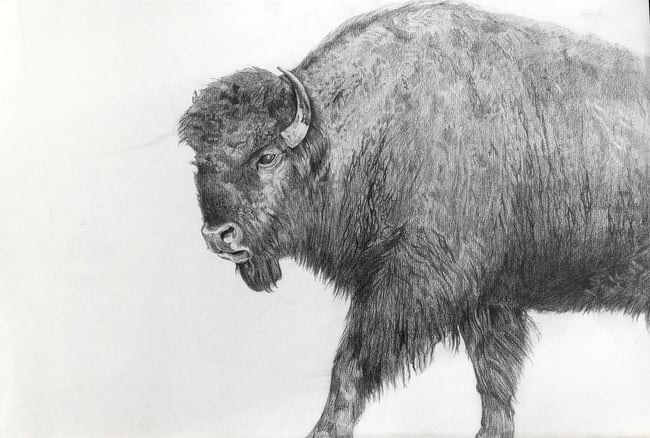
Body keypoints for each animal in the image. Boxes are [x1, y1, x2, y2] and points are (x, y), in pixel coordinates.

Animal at [178, 2, 650, 437]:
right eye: (199, 162)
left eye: (268, 156)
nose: (219, 236)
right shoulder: (489, 302)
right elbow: (494, 380)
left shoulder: (414, 283)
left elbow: (351, 365)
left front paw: (325, 430)